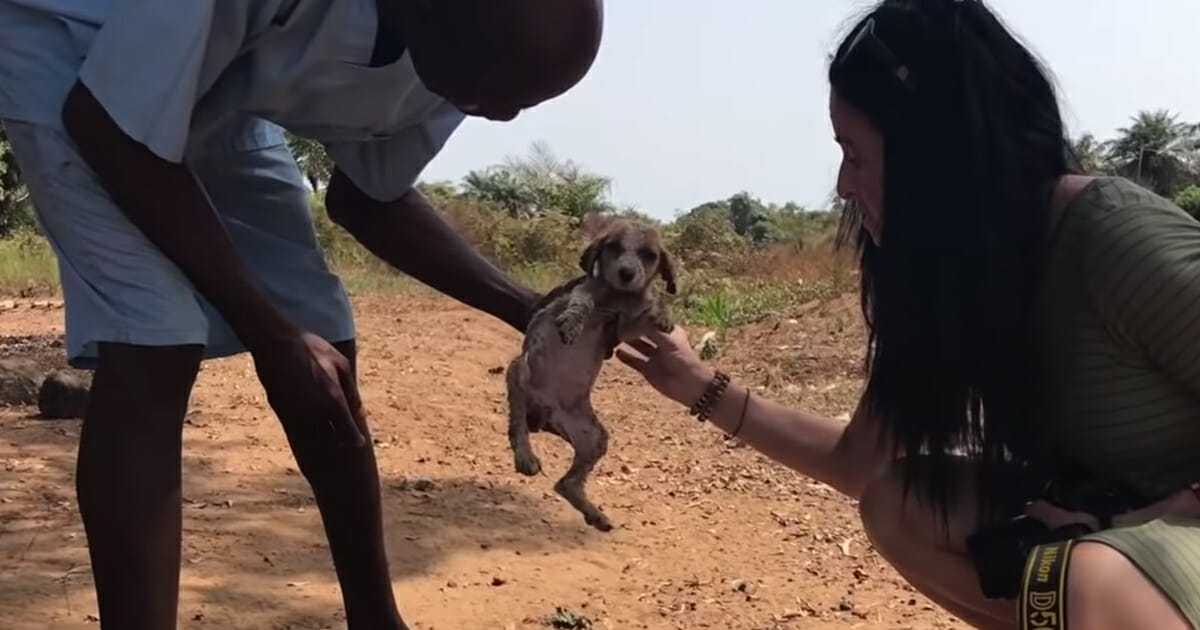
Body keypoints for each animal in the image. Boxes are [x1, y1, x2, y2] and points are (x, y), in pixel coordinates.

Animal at [504, 220, 676, 530]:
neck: (618, 296)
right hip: (521, 369)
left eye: (649, 254)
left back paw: (594, 513)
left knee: (566, 484)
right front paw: (573, 324)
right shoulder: (581, 292)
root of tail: (543, 413)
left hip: (594, 434)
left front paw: (664, 313)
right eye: (613, 247)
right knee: (517, 425)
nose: (626, 273)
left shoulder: (625, 327)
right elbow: (583, 301)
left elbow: (650, 306)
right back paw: (525, 456)